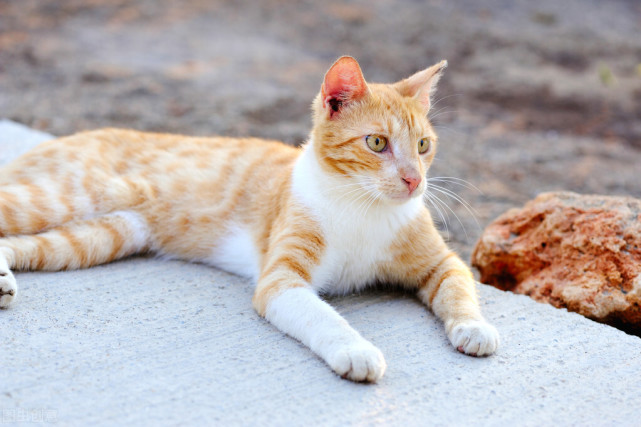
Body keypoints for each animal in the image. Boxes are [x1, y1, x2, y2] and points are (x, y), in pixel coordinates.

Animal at [0, 56, 498, 382]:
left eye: (423, 145)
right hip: (57, 198)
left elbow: (459, 290)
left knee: (23, 246)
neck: (363, 208)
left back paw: (3, 282)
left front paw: (473, 327)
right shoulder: (282, 281)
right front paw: (355, 350)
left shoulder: (443, 262)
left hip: (104, 236)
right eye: (377, 143)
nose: (415, 181)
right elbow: (325, 318)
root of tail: (69, 135)